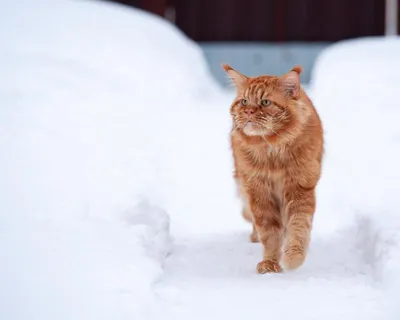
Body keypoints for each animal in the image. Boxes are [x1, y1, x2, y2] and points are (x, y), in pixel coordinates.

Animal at [223, 64, 324, 272]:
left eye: (265, 102)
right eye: (244, 101)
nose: (249, 112)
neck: (272, 151)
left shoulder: (299, 188)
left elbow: (298, 226)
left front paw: (293, 258)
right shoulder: (259, 192)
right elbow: (269, 233)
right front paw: (270, 262)